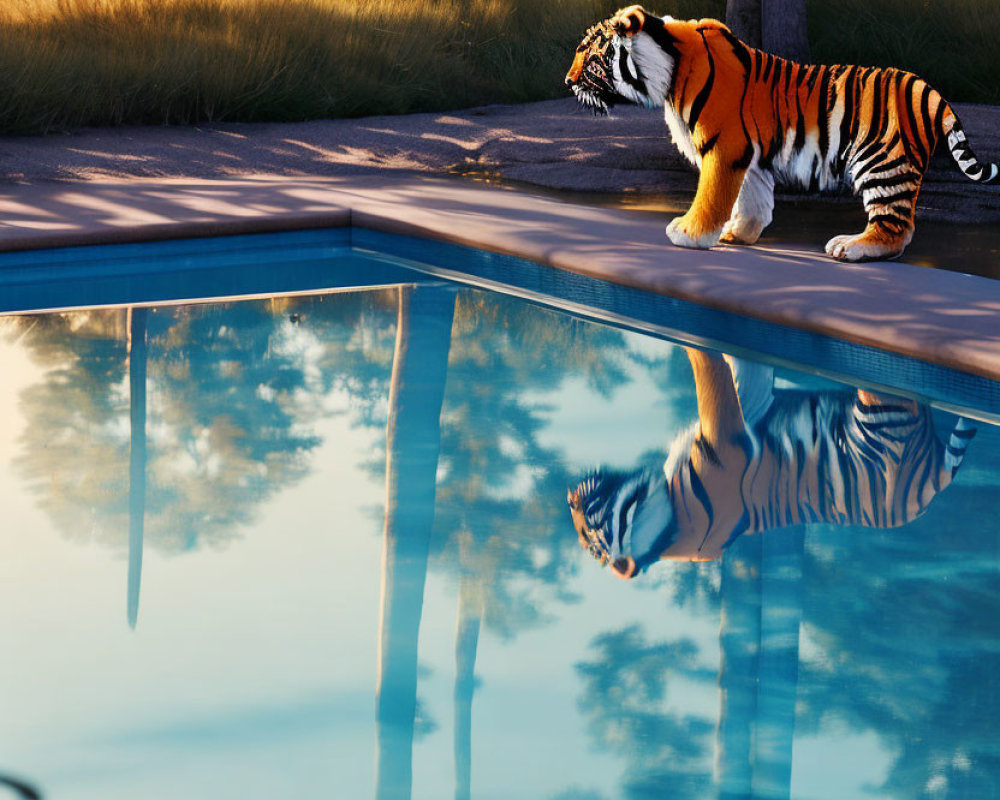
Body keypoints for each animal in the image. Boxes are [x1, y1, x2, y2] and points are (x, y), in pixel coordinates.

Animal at [568, 7, 996, 262]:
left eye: (590, 58)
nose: (568, 81)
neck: (670, 68)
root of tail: (929, 90)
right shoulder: (748, 154)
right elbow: (751, 198)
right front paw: (738, 234)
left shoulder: (724, 147)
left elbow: (711, 195)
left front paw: (688, 233)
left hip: (882, 161)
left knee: (893, 225)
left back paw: (850, 246)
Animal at [572, 346, 976, 580]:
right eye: (590, 536)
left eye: (587, 525)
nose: (570, 497)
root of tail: (935, 479)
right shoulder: (726, 436)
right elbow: (714, 374)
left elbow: (727, 372)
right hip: (878, 413)